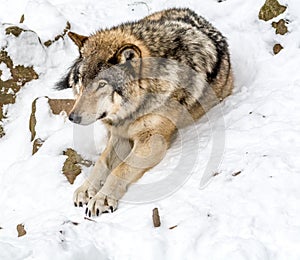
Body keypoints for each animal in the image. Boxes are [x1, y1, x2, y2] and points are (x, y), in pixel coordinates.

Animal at [56, 7, 234, 216]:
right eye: (82, 80)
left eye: (101, 84)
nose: (73, 117)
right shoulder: (120, 136)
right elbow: (102, 162)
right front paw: (86, 189)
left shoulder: (152, 141)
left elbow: (121, 168)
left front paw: (102, 198)